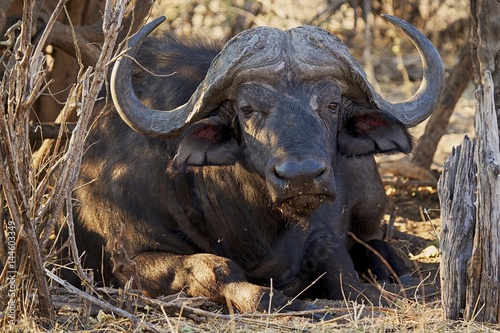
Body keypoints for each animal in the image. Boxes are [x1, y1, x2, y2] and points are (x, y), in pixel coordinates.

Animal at [68, 14, 444, 314]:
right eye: (248, 109)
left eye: (332, 104)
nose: (302, 177)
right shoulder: (132, 258)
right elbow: (220, 270)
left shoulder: (319, 231)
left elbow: (341, 269)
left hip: (371, 204)